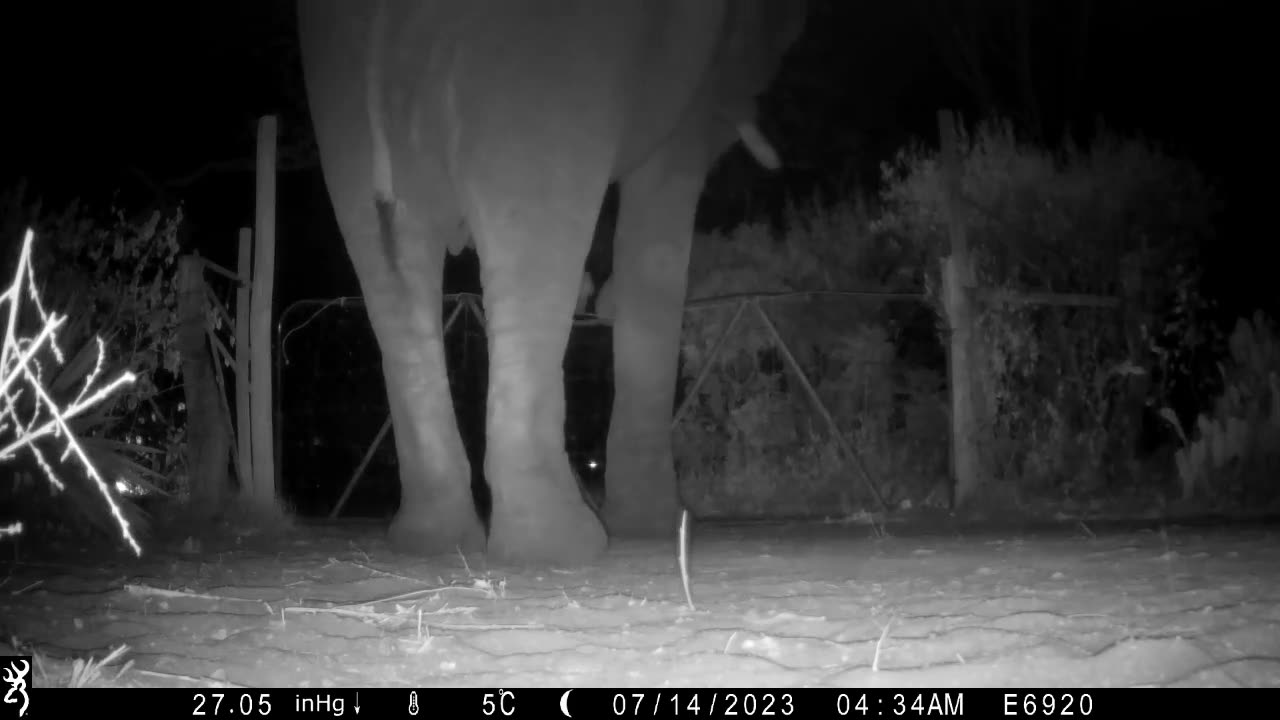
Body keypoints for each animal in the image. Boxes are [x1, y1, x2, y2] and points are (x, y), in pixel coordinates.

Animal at [294, 0, 803, 561]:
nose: (597, 300)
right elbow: (659, 240)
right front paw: (655, 527)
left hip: (339, 92)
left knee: (390, 261)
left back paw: (434, 541)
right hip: (538, 69)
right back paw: (559, 547)